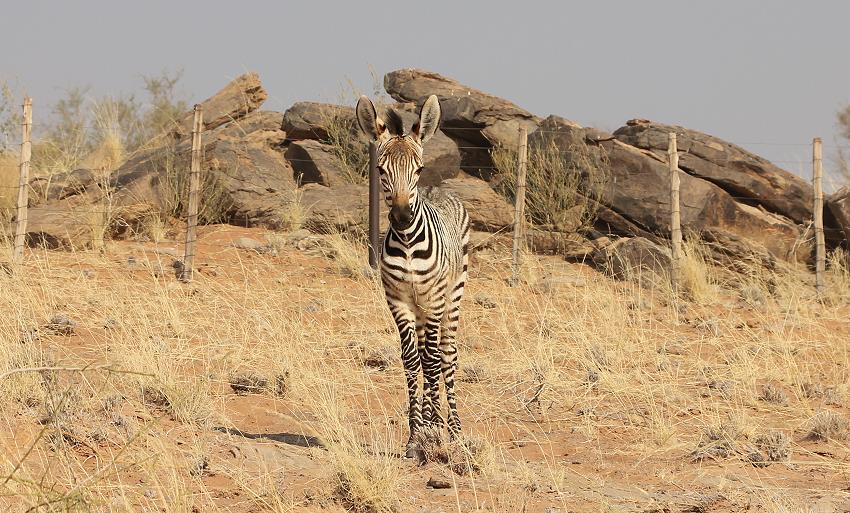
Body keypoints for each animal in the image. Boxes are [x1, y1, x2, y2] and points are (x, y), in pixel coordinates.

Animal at [352, 93, 470, 456]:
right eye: (380, 169)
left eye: (418, 169)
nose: (402, 217)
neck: (406, 242)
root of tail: (438, 190)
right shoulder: (398, 300)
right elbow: (411, 360)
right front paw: (415, 437)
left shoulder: (433, 300)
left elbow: (431, 361)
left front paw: (432, 432)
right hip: (419, 308)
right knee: (424, 351)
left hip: (452, 296)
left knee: (447, 355)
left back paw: (455, 431)